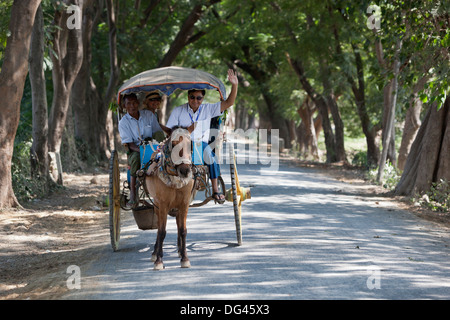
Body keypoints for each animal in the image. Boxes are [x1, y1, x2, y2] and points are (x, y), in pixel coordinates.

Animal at [144, 125, 193, 270]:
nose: (185, 170)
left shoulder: (184, 204)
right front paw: (159, 261)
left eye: (190, 144)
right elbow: (162, 231)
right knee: (159, 227)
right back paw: (155, 253)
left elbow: (183, 230)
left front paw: (185, 258)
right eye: (174, 144)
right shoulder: (163, 205)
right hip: (157, 205)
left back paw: (180, 250)